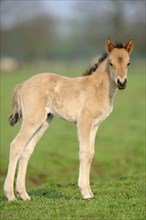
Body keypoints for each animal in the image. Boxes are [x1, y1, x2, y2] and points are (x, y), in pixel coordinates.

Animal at [3, 38, 133, 201]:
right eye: (111, 63)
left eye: (128, 63)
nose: (122, 82)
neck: (97, 88)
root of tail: (22, 85)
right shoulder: (84, 122)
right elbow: (84, 152)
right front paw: (85, 193)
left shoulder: (95, 125)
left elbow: (90, 153)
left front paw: (90, 192)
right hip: (33, 120)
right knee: (16, 145)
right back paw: (10, 195)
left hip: (44, 122)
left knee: (26, 150)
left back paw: (24, 194)